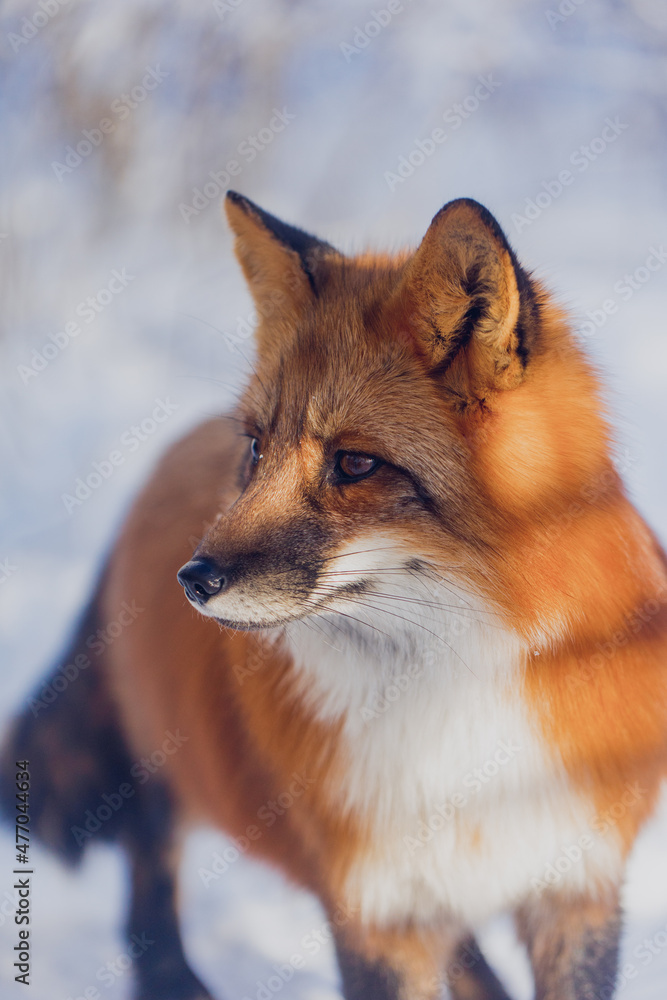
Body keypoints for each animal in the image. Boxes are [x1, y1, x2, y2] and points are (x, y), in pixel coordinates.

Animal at [2, 191, 667, 1000]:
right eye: (258, 448)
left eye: (354, 464)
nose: (194, 580)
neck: (454, 693)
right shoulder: (372, 909)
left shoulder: (574, 887)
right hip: (172, 758)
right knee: (147, 860)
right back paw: (169, 977)